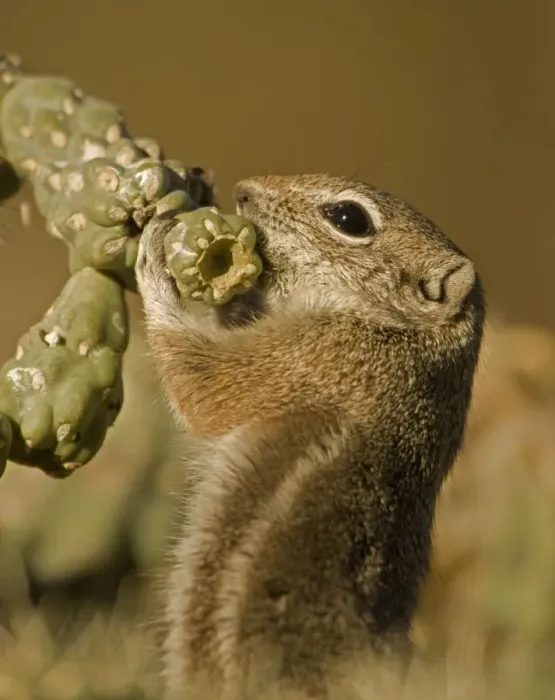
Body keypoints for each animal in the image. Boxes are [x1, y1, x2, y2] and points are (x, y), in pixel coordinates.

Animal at [135, 174, 485, 699]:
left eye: (348, 218)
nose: (243, 190)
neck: (403, 335)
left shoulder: (316, 357)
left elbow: (205, 388)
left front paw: (154, 253)